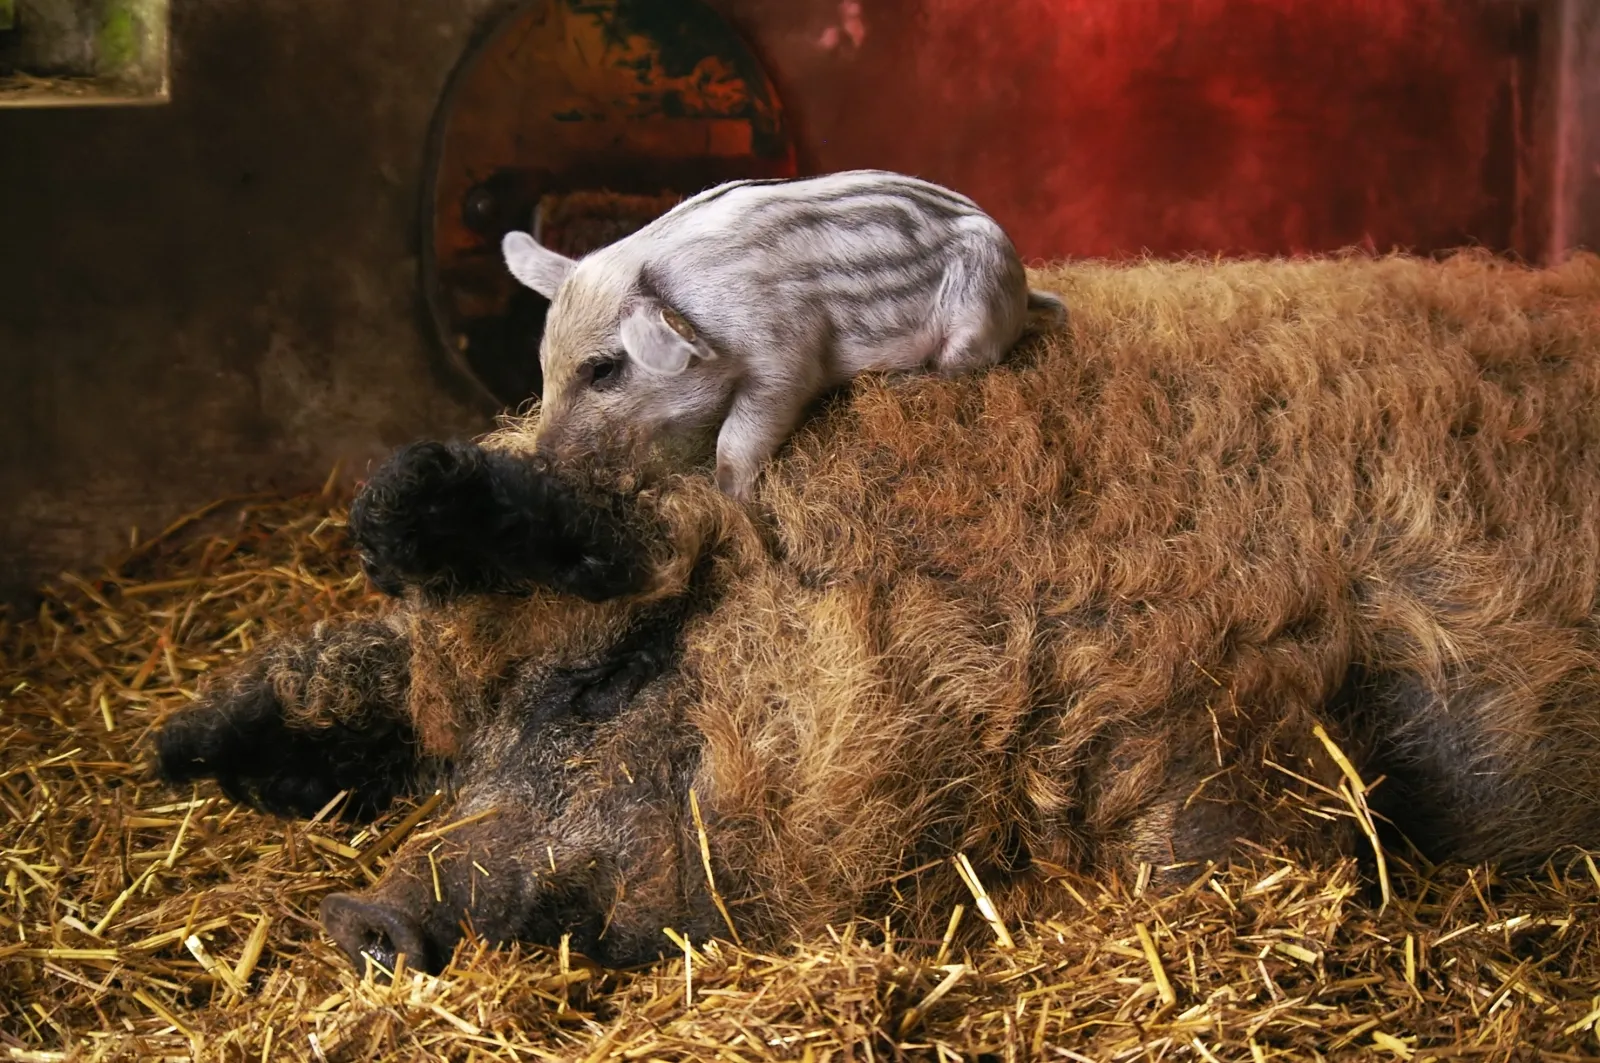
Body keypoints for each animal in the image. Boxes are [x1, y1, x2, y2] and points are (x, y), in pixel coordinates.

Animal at [499, 169, 1068, 501]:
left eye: (602, 370)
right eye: (542, 362)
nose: (540, 456)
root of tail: (1021, 288)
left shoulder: (785, 357)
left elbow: (742, 435)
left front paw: (730, 495)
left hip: (975, 319)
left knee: (960, 369)